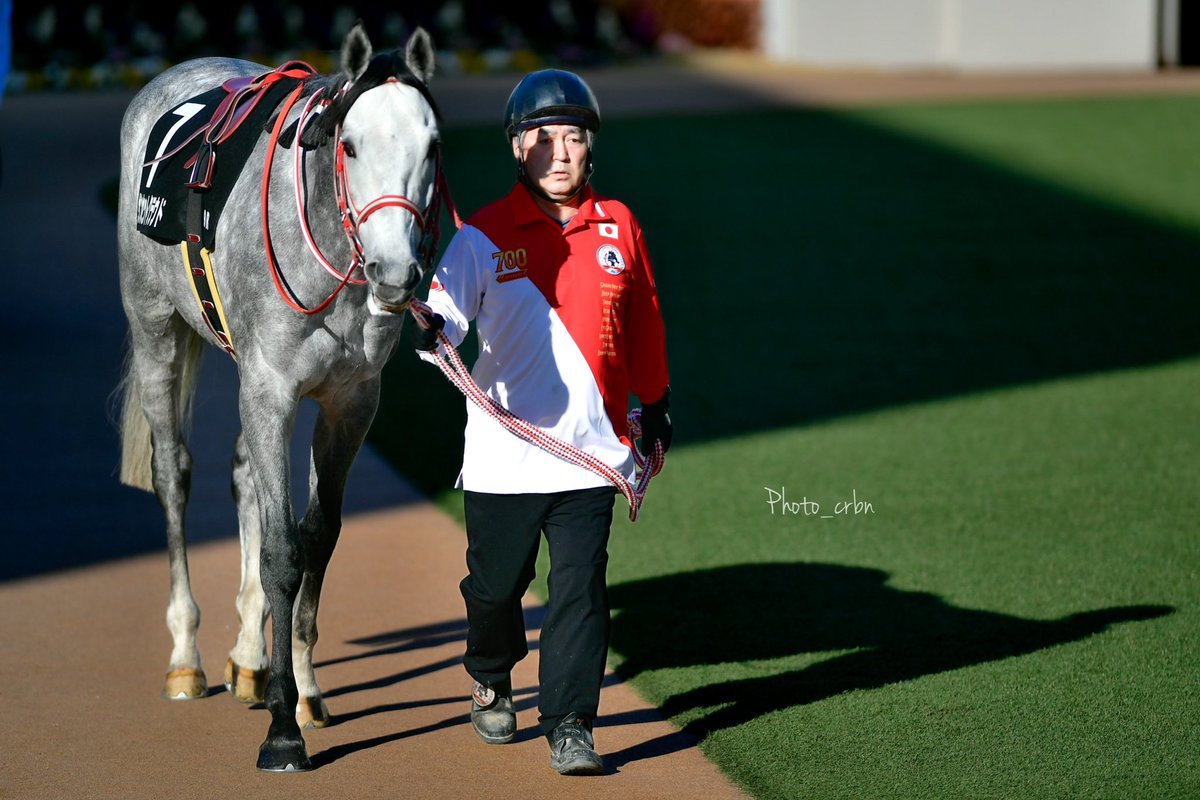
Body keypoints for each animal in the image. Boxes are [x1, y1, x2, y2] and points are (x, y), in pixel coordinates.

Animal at [115, 24, 442, 771]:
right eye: (350, 146)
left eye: (432, 146)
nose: (395, 271)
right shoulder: (270, 390)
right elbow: (282, 552)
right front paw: (282, 731)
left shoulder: (350, 403)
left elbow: (317, 537)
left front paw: (303, 690)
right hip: (155, 328)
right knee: (173, 475)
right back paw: (186, 658)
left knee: (242, 476)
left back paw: (246, 659)